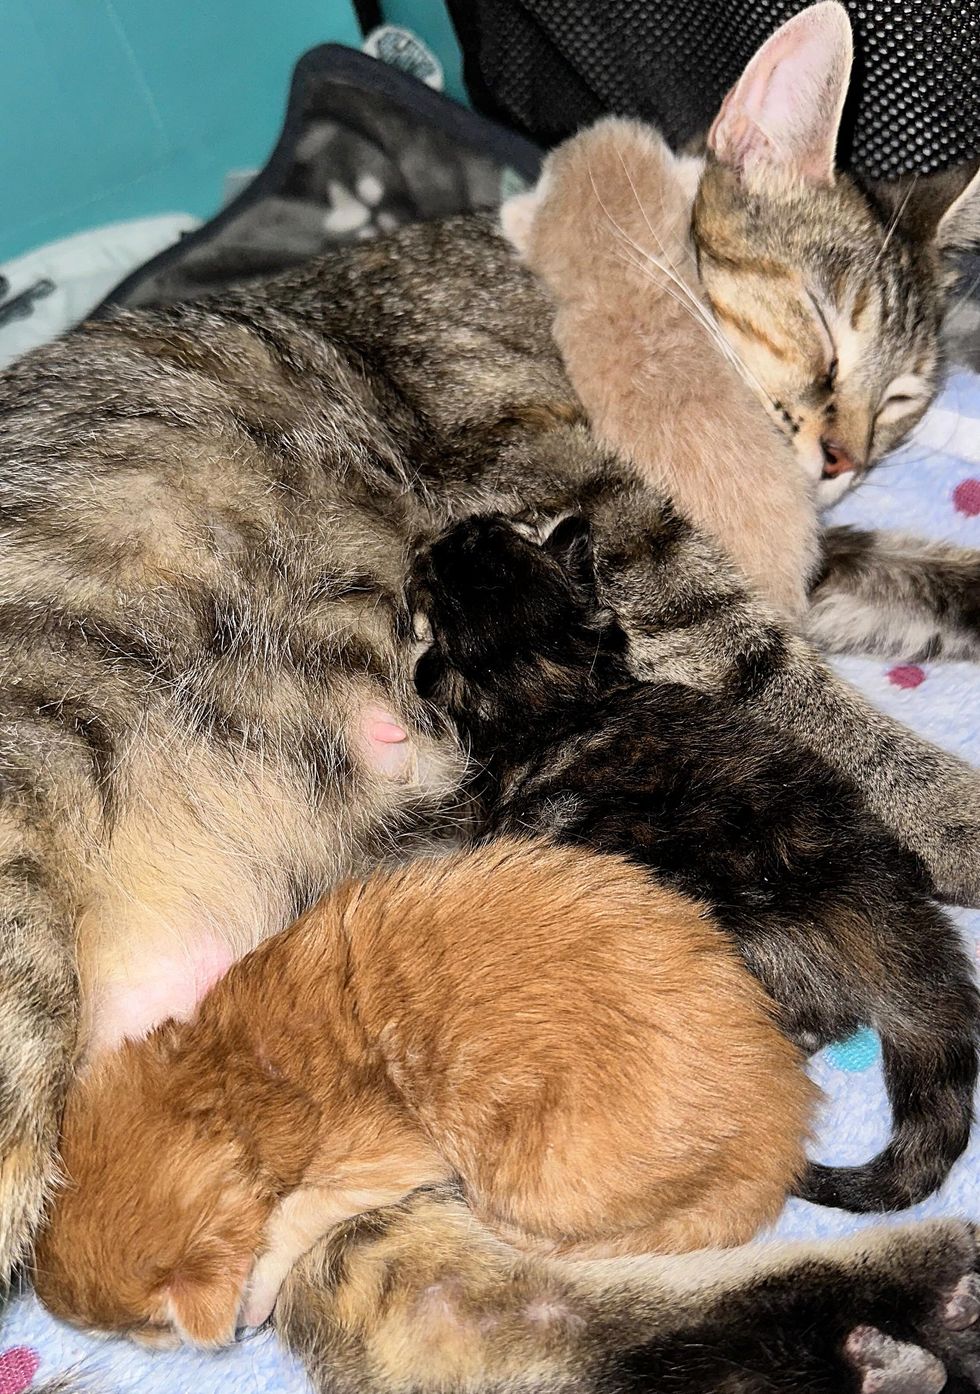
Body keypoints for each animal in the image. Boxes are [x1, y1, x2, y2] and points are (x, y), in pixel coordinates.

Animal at [34, 836, 814, 1349]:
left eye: (142, 1329)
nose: (151, 1347)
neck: (237, 1072)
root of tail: (782, 1131)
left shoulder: (388, 1156)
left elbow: (291, 1216)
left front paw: (253, 1296)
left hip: (527, 1178)